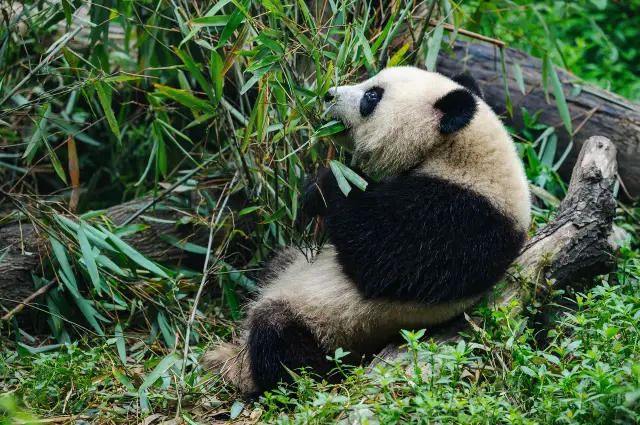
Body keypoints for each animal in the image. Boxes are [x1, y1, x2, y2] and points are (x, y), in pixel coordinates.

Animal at [202, 66, 531, 395]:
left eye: (372, 96)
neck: (459, 153)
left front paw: (324, 183)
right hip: (291, 269)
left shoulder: (463, 218)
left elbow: (382, 261)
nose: (328, 94)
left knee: (280, 339)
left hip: (331, 329)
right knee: (277, 265)